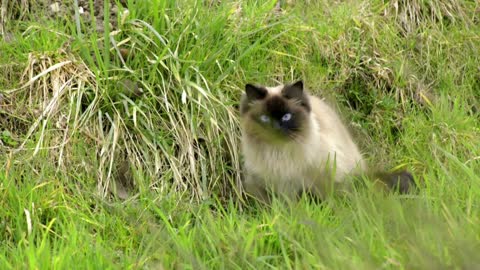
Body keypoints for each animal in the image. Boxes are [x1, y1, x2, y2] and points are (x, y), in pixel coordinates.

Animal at [238, 80, 414, 202]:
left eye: (286, 116)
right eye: (265, 118)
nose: (275, 128)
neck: (278, 155)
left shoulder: (312, 181)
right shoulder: (264, 187)